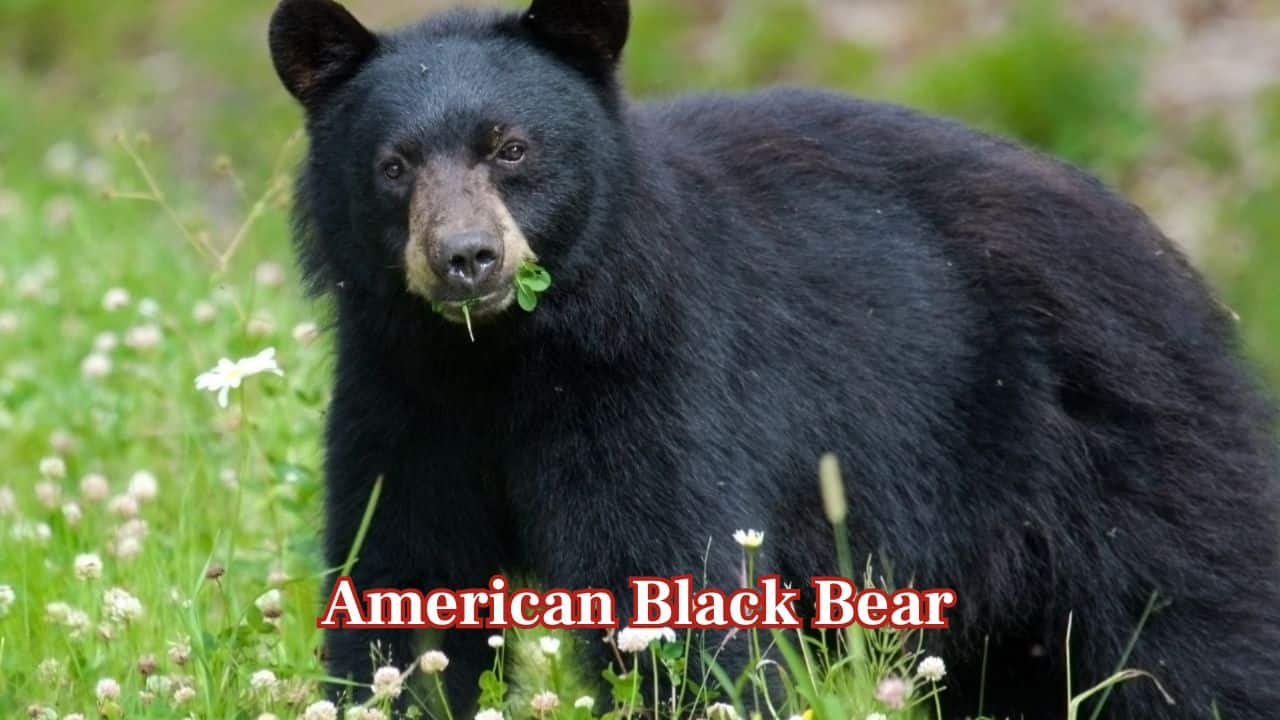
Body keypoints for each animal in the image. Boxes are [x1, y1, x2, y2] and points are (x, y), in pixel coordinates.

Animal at [267, 0, 1280, 717]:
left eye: (511, 148)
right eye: (394, 165)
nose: (467, 258)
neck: (501, 359)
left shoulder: (655, 380)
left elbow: (674, 590)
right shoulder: (400, 395)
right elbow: (402, 581)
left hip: (1125, 461)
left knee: (1195, 635)